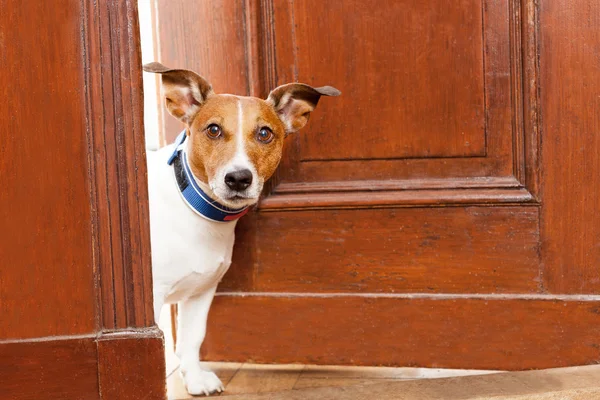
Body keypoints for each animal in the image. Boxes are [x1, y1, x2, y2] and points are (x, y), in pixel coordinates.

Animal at [142, 63, 338, 396]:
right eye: (213, 130)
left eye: (264, 133)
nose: (238, 178)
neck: (195, 210)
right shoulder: (152, 296)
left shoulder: (201, 290)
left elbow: (192, 339)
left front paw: (195, 379)